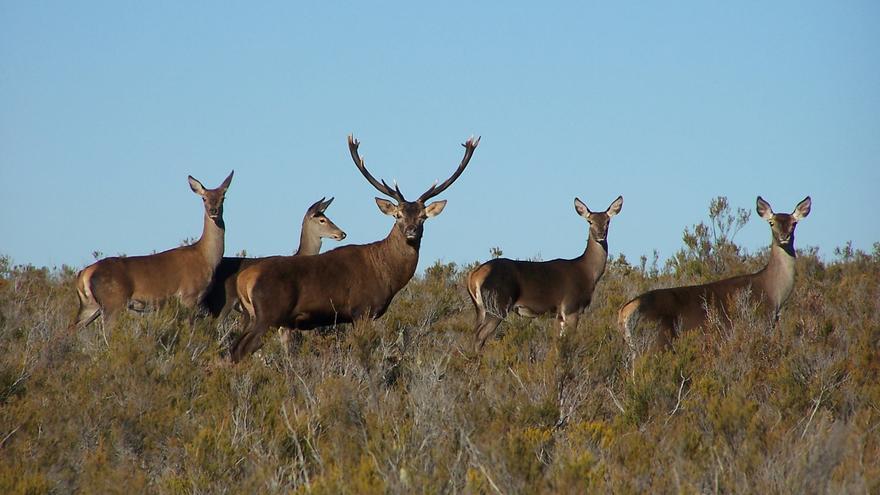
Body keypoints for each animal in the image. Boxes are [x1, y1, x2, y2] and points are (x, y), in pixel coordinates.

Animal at [69, 172, 234, 332]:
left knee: (73, 328)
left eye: (223, 197)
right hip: (113, 302)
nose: (213, 211)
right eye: (204, 198)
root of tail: (85, 273)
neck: (206, 258)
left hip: (90, 305)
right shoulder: (189, 296)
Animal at [227, 134, 474, 362]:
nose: (411, 230)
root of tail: (244, 279)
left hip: (251, 315)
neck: (388, 274)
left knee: (234, 347)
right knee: (241, 349)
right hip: (268, 314)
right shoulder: (362, 310)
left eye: (423, 217)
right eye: (398, 215)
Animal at [468, 195, 624, 352]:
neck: (588, 273)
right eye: (589, 221)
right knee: (480, 335)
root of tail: (475, 275)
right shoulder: (571, 307)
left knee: (474, 332)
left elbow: (558, 344)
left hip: (481, 308)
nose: (600, 235)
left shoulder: (559, 314)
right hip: (498, 303)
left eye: (608, 221)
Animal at [620, 196, 812, 358]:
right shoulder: (759, 325)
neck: (774, 295)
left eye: (794, 223)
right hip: (656, 342)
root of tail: (626, 310)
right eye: (771, 223)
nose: (784, 237)